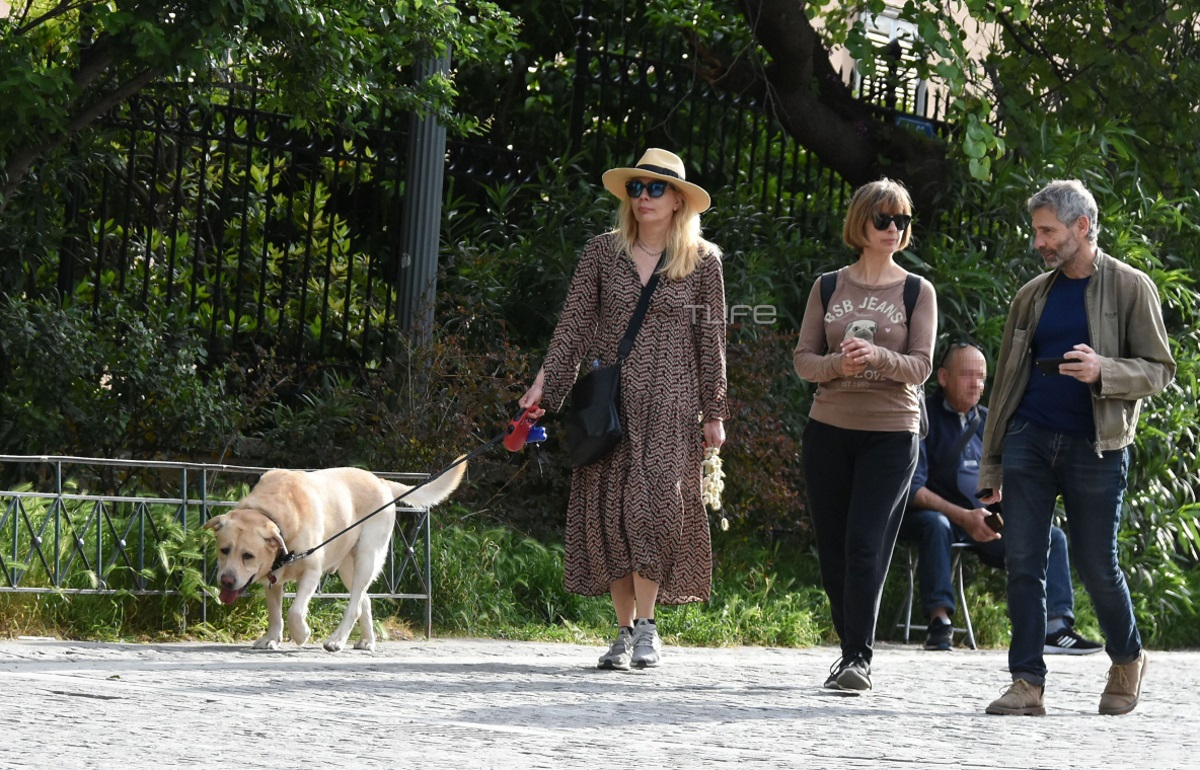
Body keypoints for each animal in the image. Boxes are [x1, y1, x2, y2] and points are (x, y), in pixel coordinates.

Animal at [204, 458, 465, 652]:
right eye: (224, 550)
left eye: (247, 555)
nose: (226, 581)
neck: (276, 516)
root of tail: (380, 481)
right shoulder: (273, 578)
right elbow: (275, 612)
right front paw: (271, 638)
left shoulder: (312, 572)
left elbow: (294, 612)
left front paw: (302, 634)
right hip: (348, 567)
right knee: (364, 600)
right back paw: (366, 641)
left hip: (367, 558)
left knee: (355, 605)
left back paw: (336, 640)